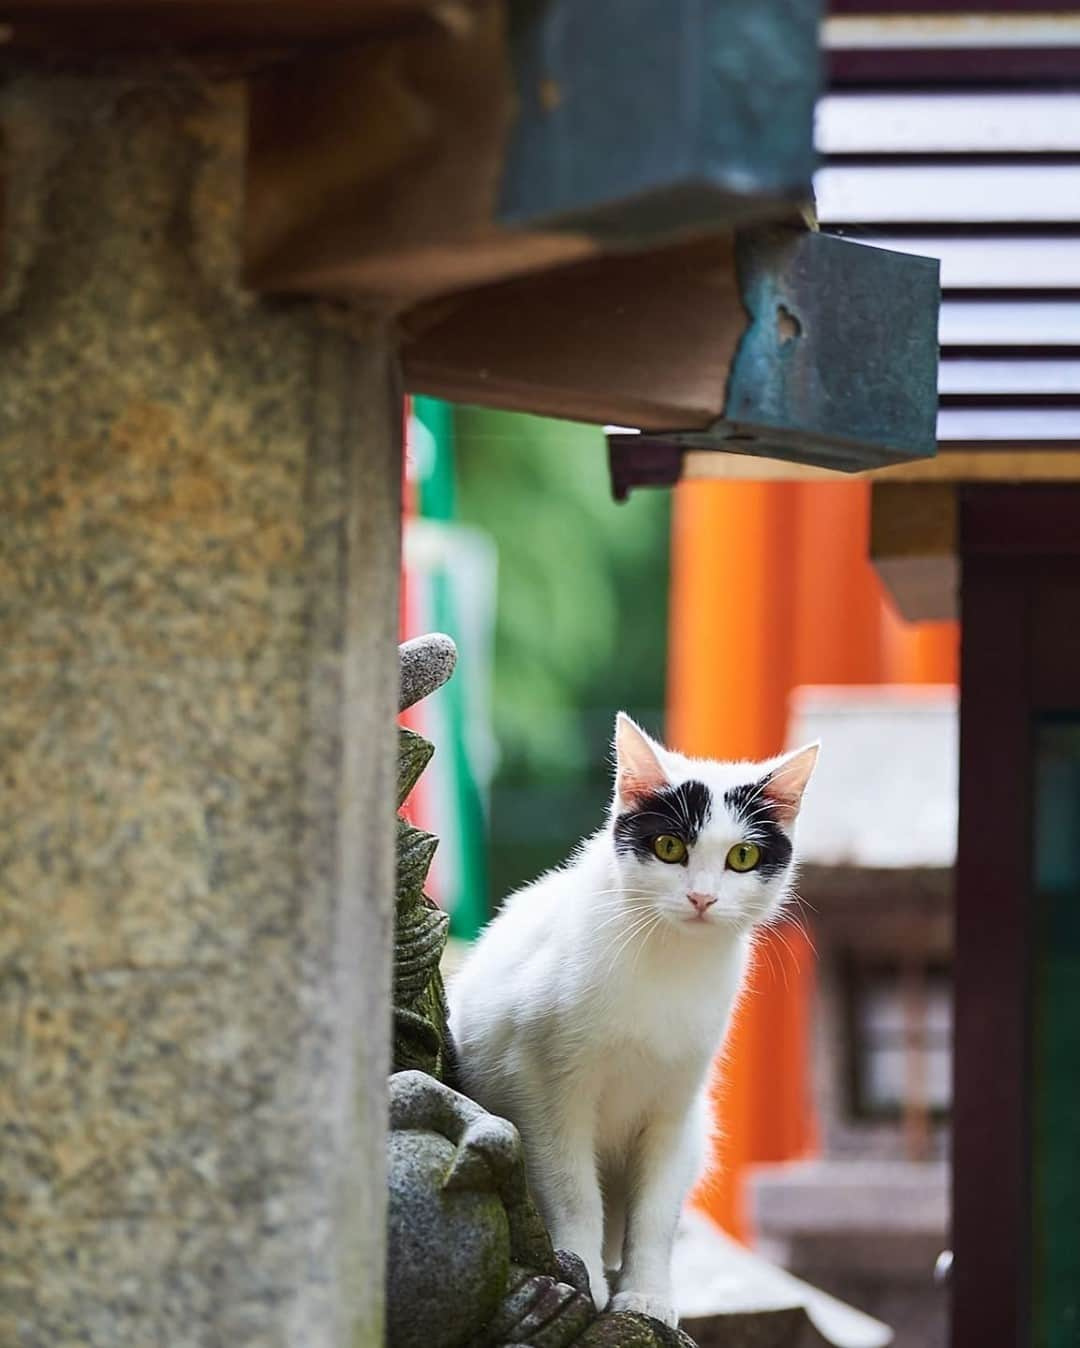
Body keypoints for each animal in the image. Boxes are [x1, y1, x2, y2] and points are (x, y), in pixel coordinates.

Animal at [447, 717, 819, 1326]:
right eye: (669, 846)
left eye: (742, 857)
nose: (702, 897)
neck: (669, 963)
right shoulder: (546, 1087)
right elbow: (571, 1187)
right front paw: (584, 1278)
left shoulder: (674, 1107)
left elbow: (656, 1213)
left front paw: (645, 1295)